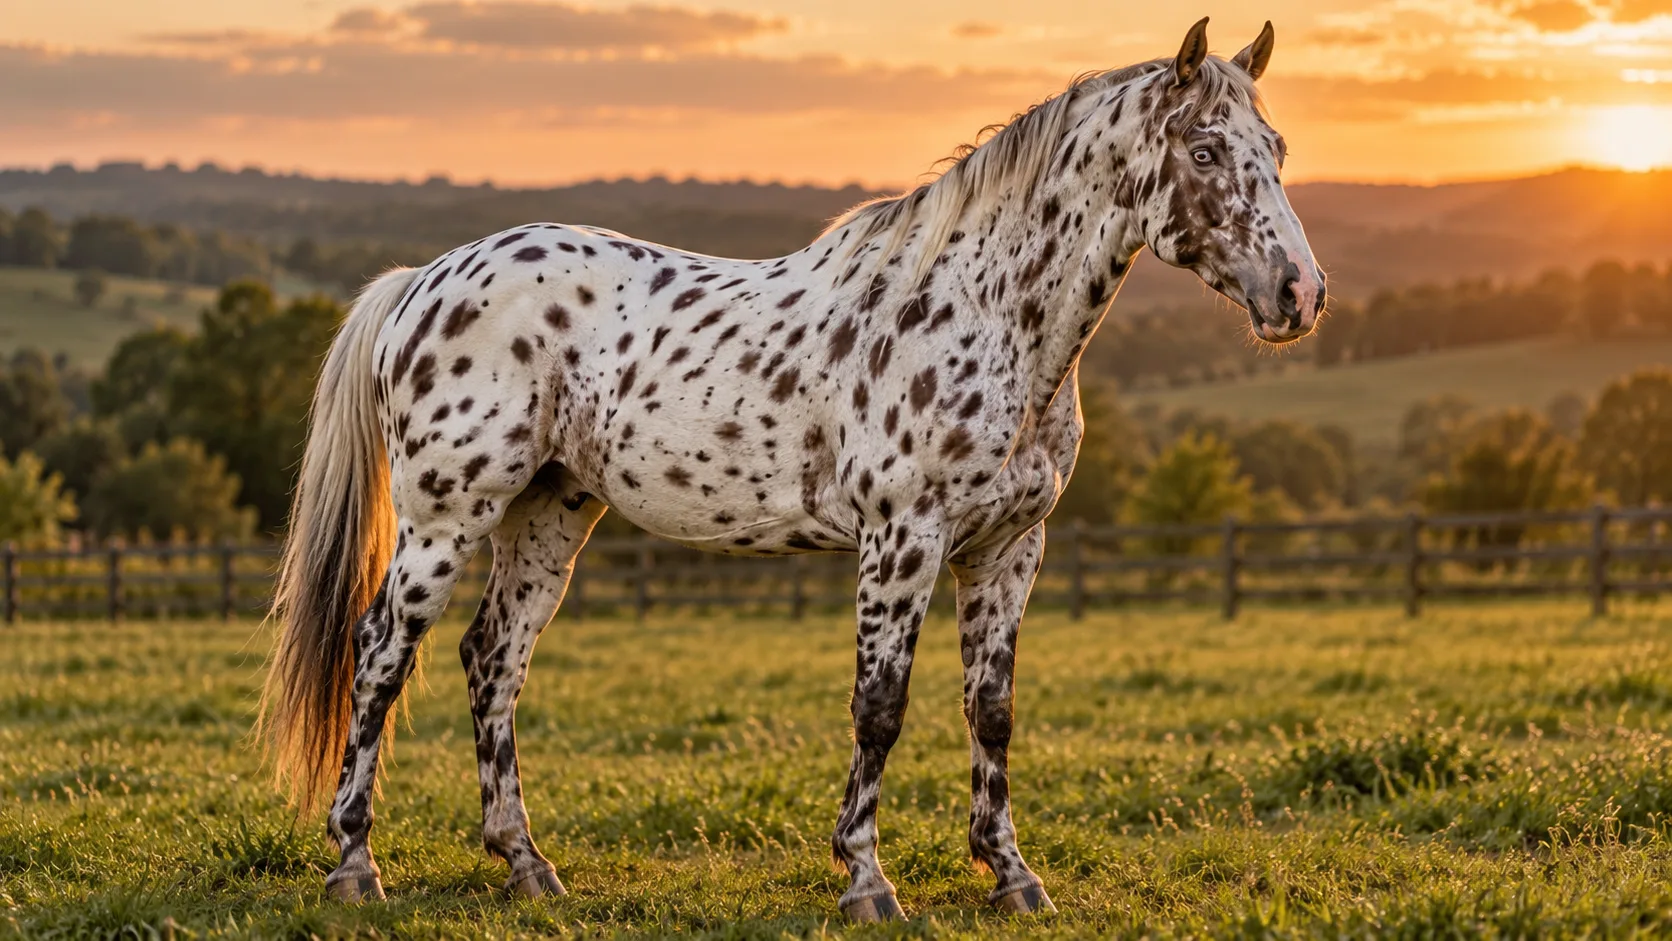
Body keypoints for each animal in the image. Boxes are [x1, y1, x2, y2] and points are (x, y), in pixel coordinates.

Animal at [261, 16, 1324, 922]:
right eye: (1203, 152)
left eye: (1275, 150)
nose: (1299, 295)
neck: (986, 315)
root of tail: (422, 283)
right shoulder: (902, 541)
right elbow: (880, 708)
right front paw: (866, 881)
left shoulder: (1008, 550)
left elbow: (992, 711)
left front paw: (1013, 875)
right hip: (447, 518)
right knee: (379, 656)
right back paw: (355, 865)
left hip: (549, 515)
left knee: (494, 660)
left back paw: (527, 865)